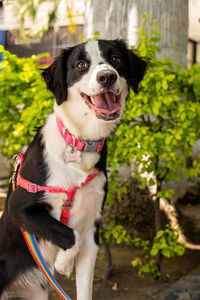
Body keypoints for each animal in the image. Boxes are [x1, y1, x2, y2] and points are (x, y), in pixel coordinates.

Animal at [0, 40, 147, 300]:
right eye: (80, 65)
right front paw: (63, 264)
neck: (79, 143)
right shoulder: (19, 206)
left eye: (116, 59)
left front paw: (64, 263)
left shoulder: (92, 229)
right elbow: (69, 233)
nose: (107, 76)